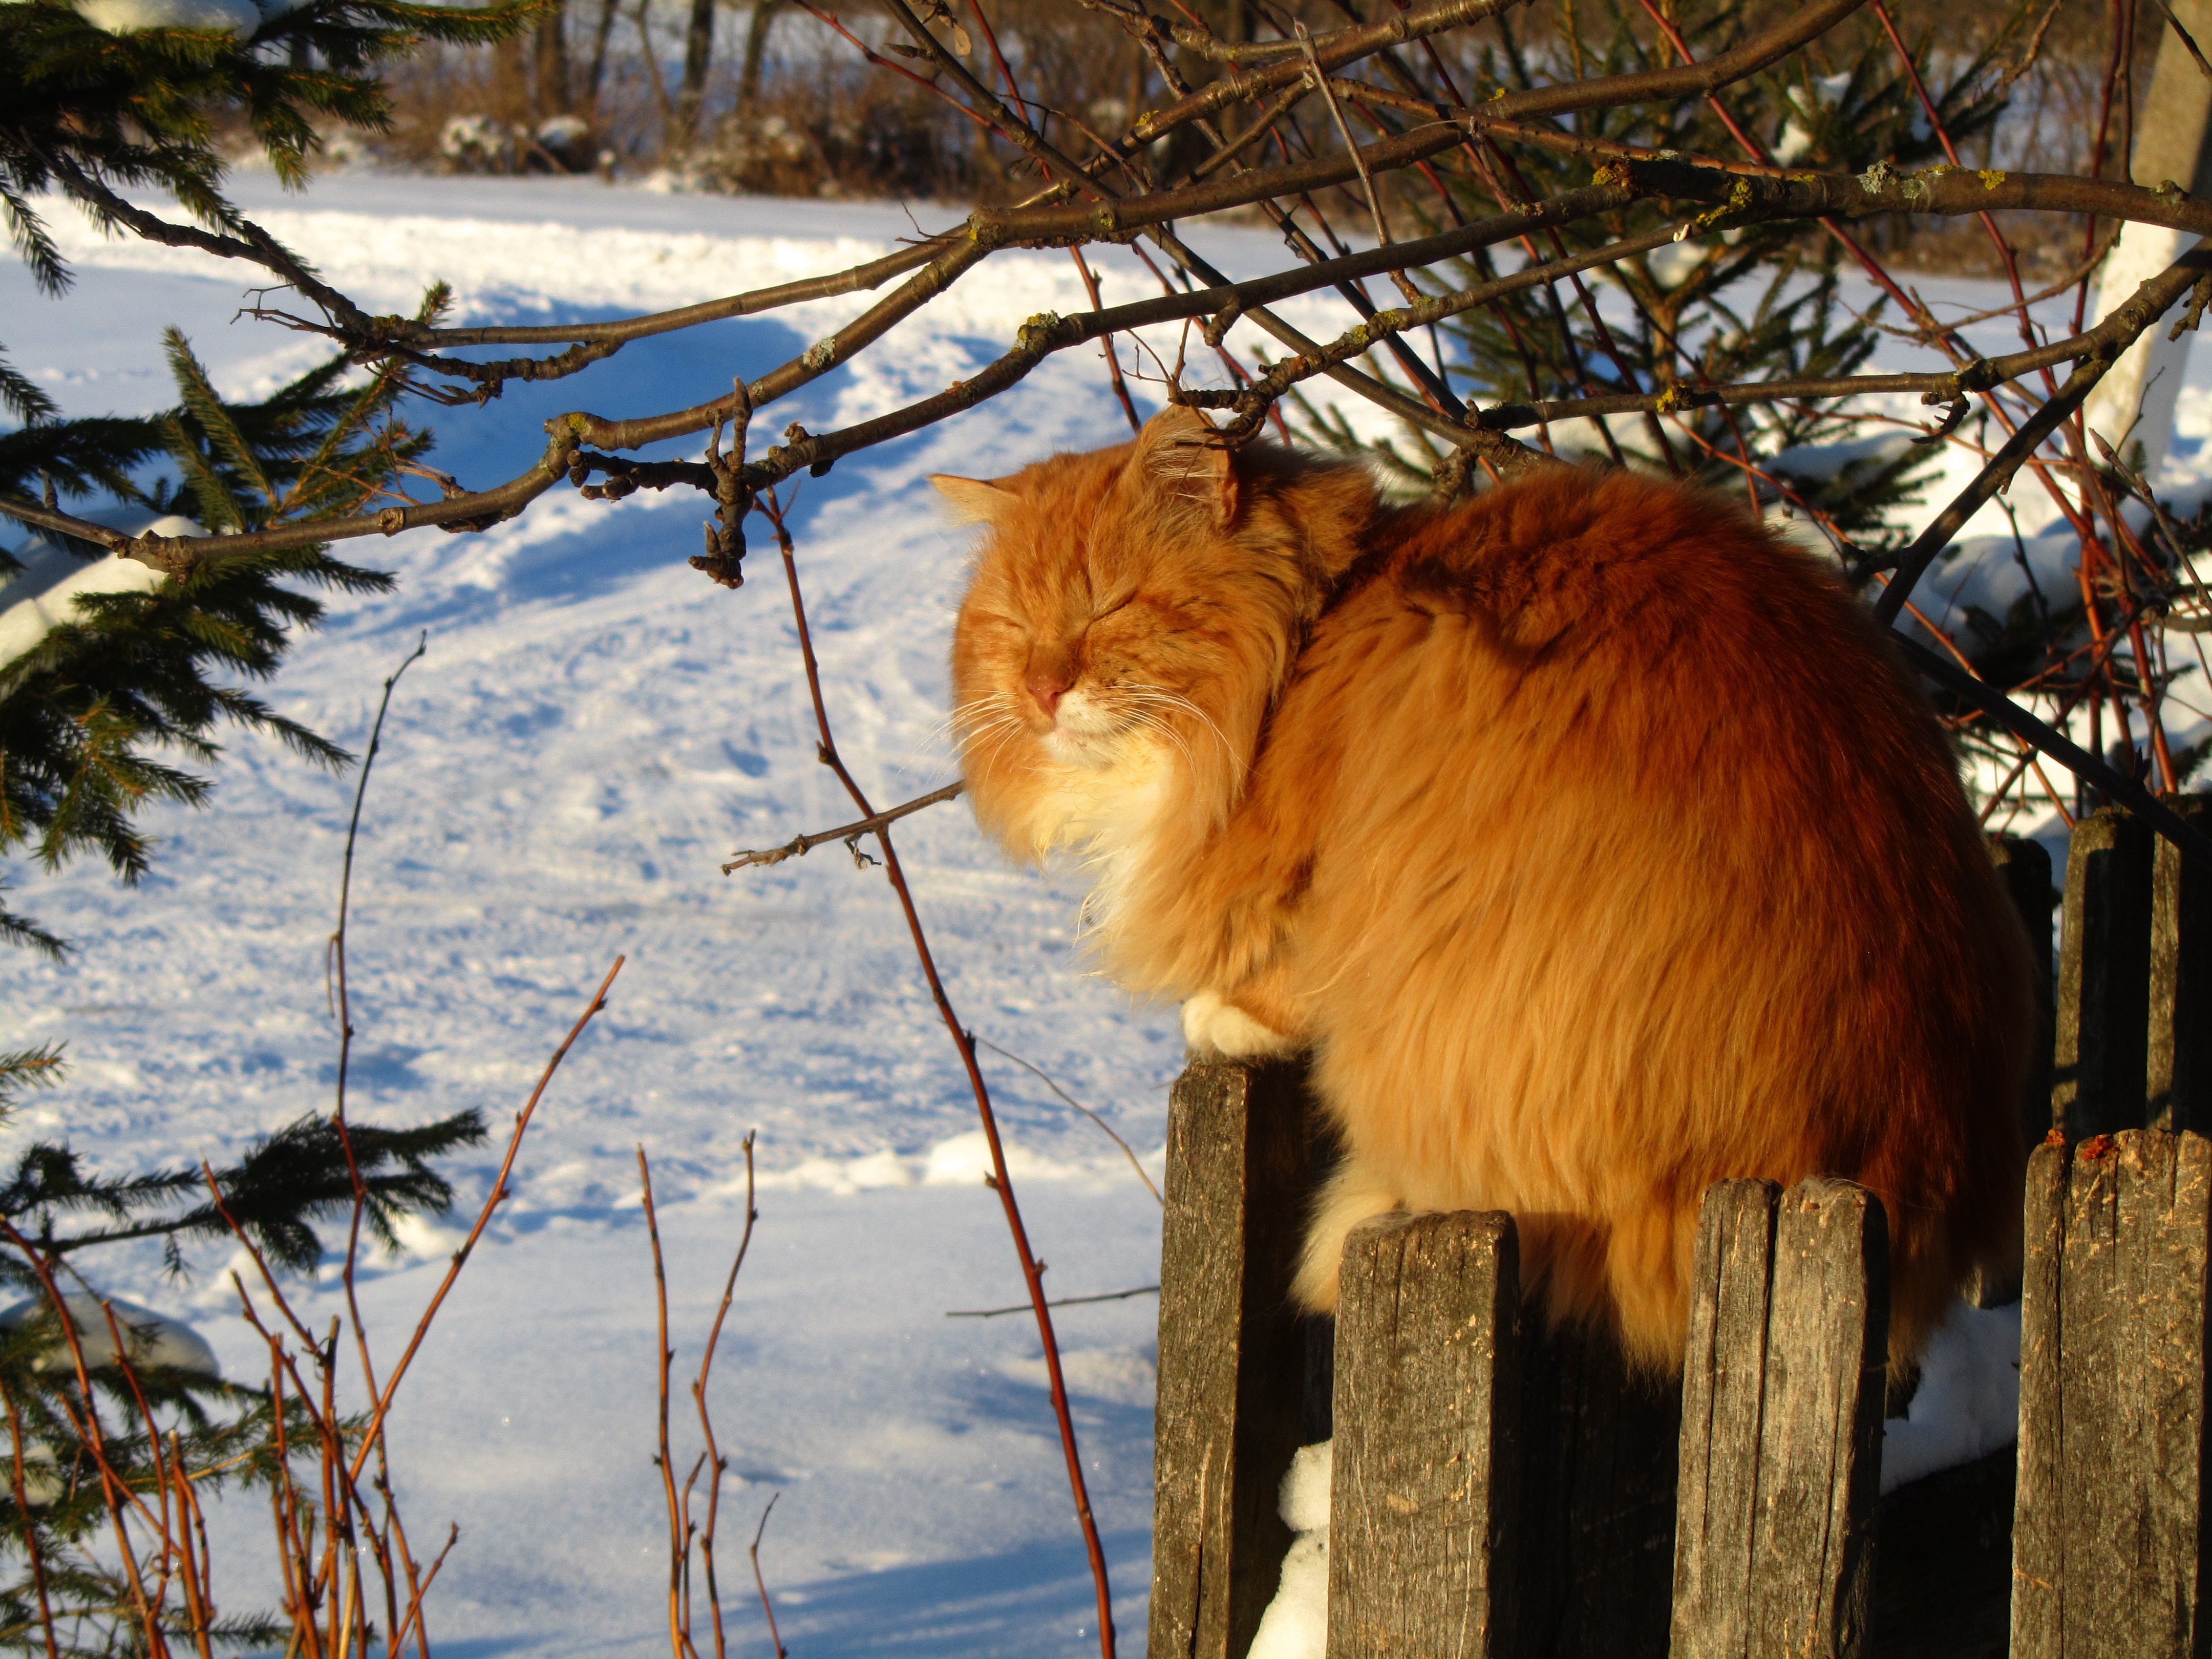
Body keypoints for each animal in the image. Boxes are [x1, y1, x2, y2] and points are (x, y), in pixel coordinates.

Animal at [929, 407, 2026, 1380]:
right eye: (1014, 627)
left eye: (1107, 608)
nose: (1040, 689)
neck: (1308, 643)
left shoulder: (1327, 868)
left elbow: (1289, 967)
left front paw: (1232, 1015)